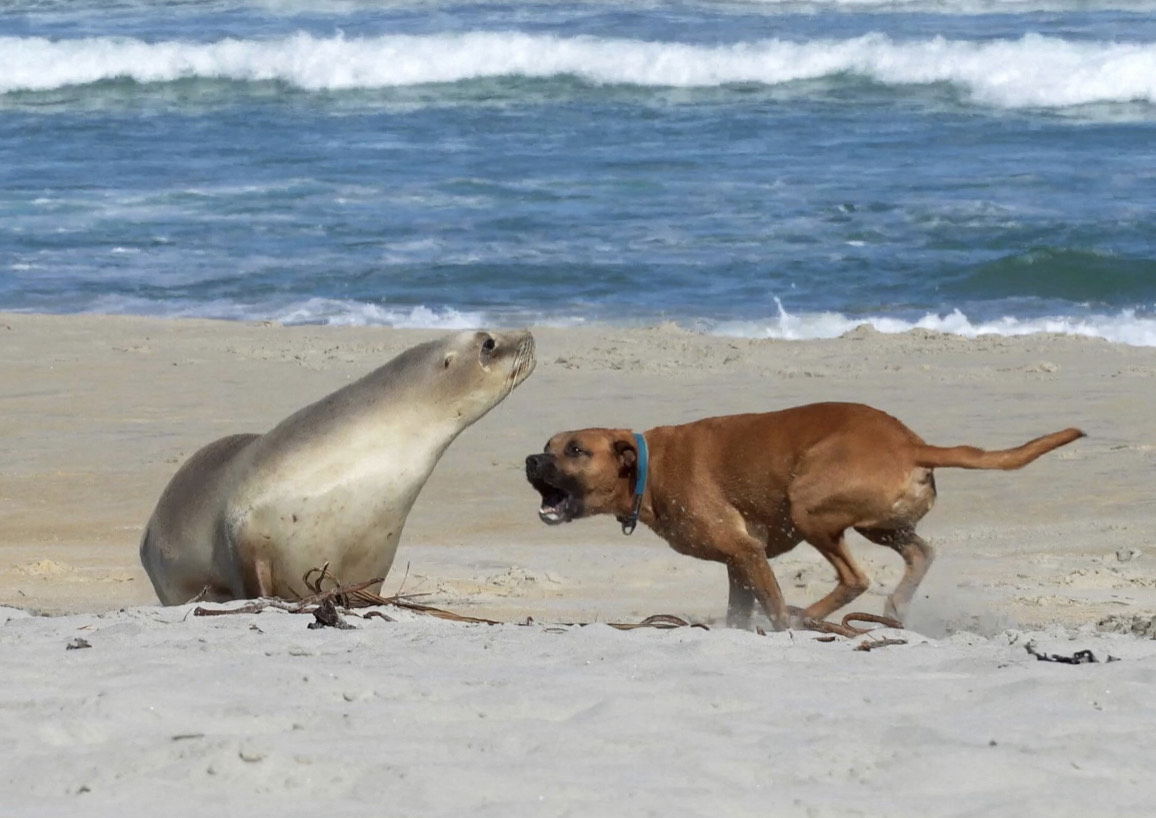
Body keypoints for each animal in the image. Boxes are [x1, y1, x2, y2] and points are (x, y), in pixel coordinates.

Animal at [527, 402, 1082, 633]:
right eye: (548, 445)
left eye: (575, 450)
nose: (530, 461)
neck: (646, 467)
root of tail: (909, 443)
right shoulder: (740, 561)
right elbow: (740, 608)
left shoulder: (744, 551)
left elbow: (771, 604)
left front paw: (778, 626)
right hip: (879, 524)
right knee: (921, 553)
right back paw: (895, 605)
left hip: (810, 507)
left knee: (855, 578)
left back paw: (811, 616)